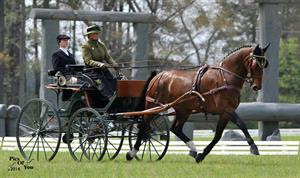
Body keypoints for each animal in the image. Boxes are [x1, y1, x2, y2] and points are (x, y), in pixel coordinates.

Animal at [125, 44, 270, 163]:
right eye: (255, 64)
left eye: (265, 64)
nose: (257, 87)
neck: (225, 77)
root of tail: (157, 76)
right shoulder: (227, 109)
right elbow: (242, 124)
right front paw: (254, 147)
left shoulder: (224, 113)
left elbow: (217, 136)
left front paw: (202, 155)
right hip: (154, 106)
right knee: (144, 127)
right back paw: (131, 153)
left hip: (183, 110)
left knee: (175, 129)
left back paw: (194, 150)